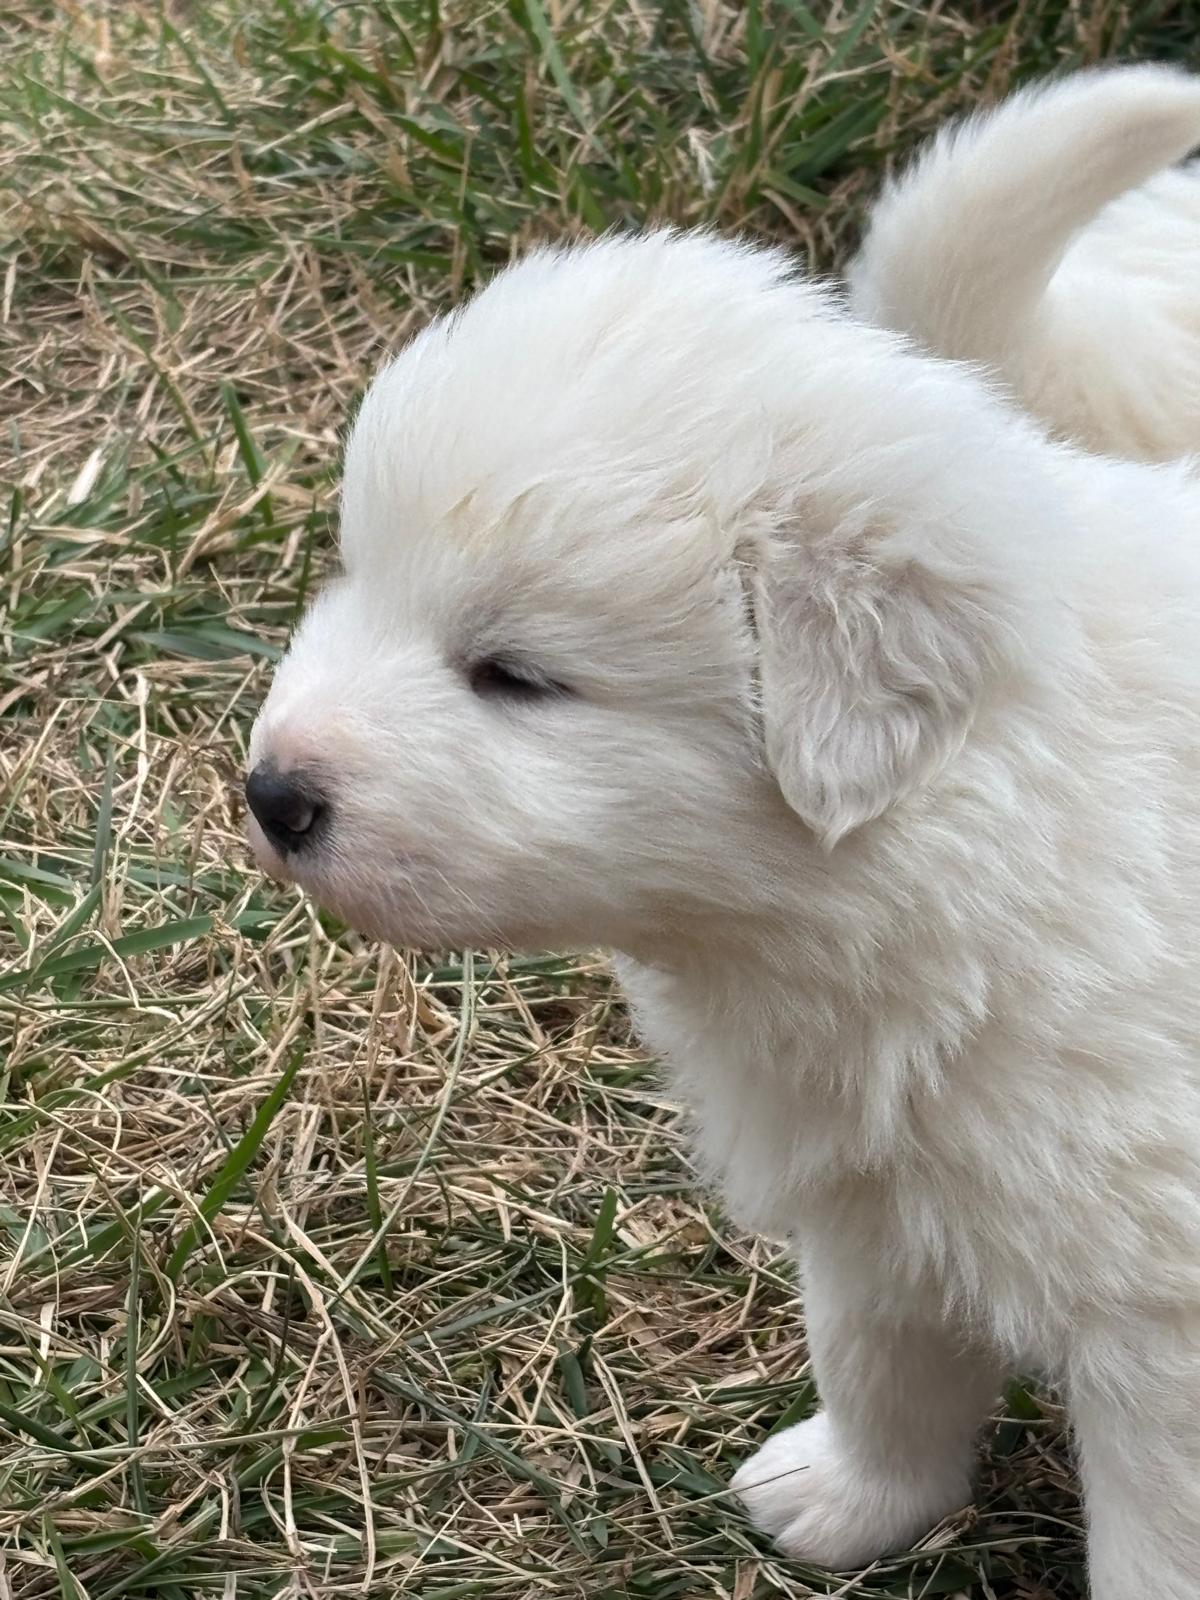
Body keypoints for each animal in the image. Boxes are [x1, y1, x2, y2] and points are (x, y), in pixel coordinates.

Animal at [246, 66, 1200, 1600]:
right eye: (359, 579)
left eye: (517, 675)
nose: (271, 793)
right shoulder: (874, 1199)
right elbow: (883, 1367)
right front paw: (848, 1502)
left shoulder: (1163, 1323)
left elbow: (1156, 1541)